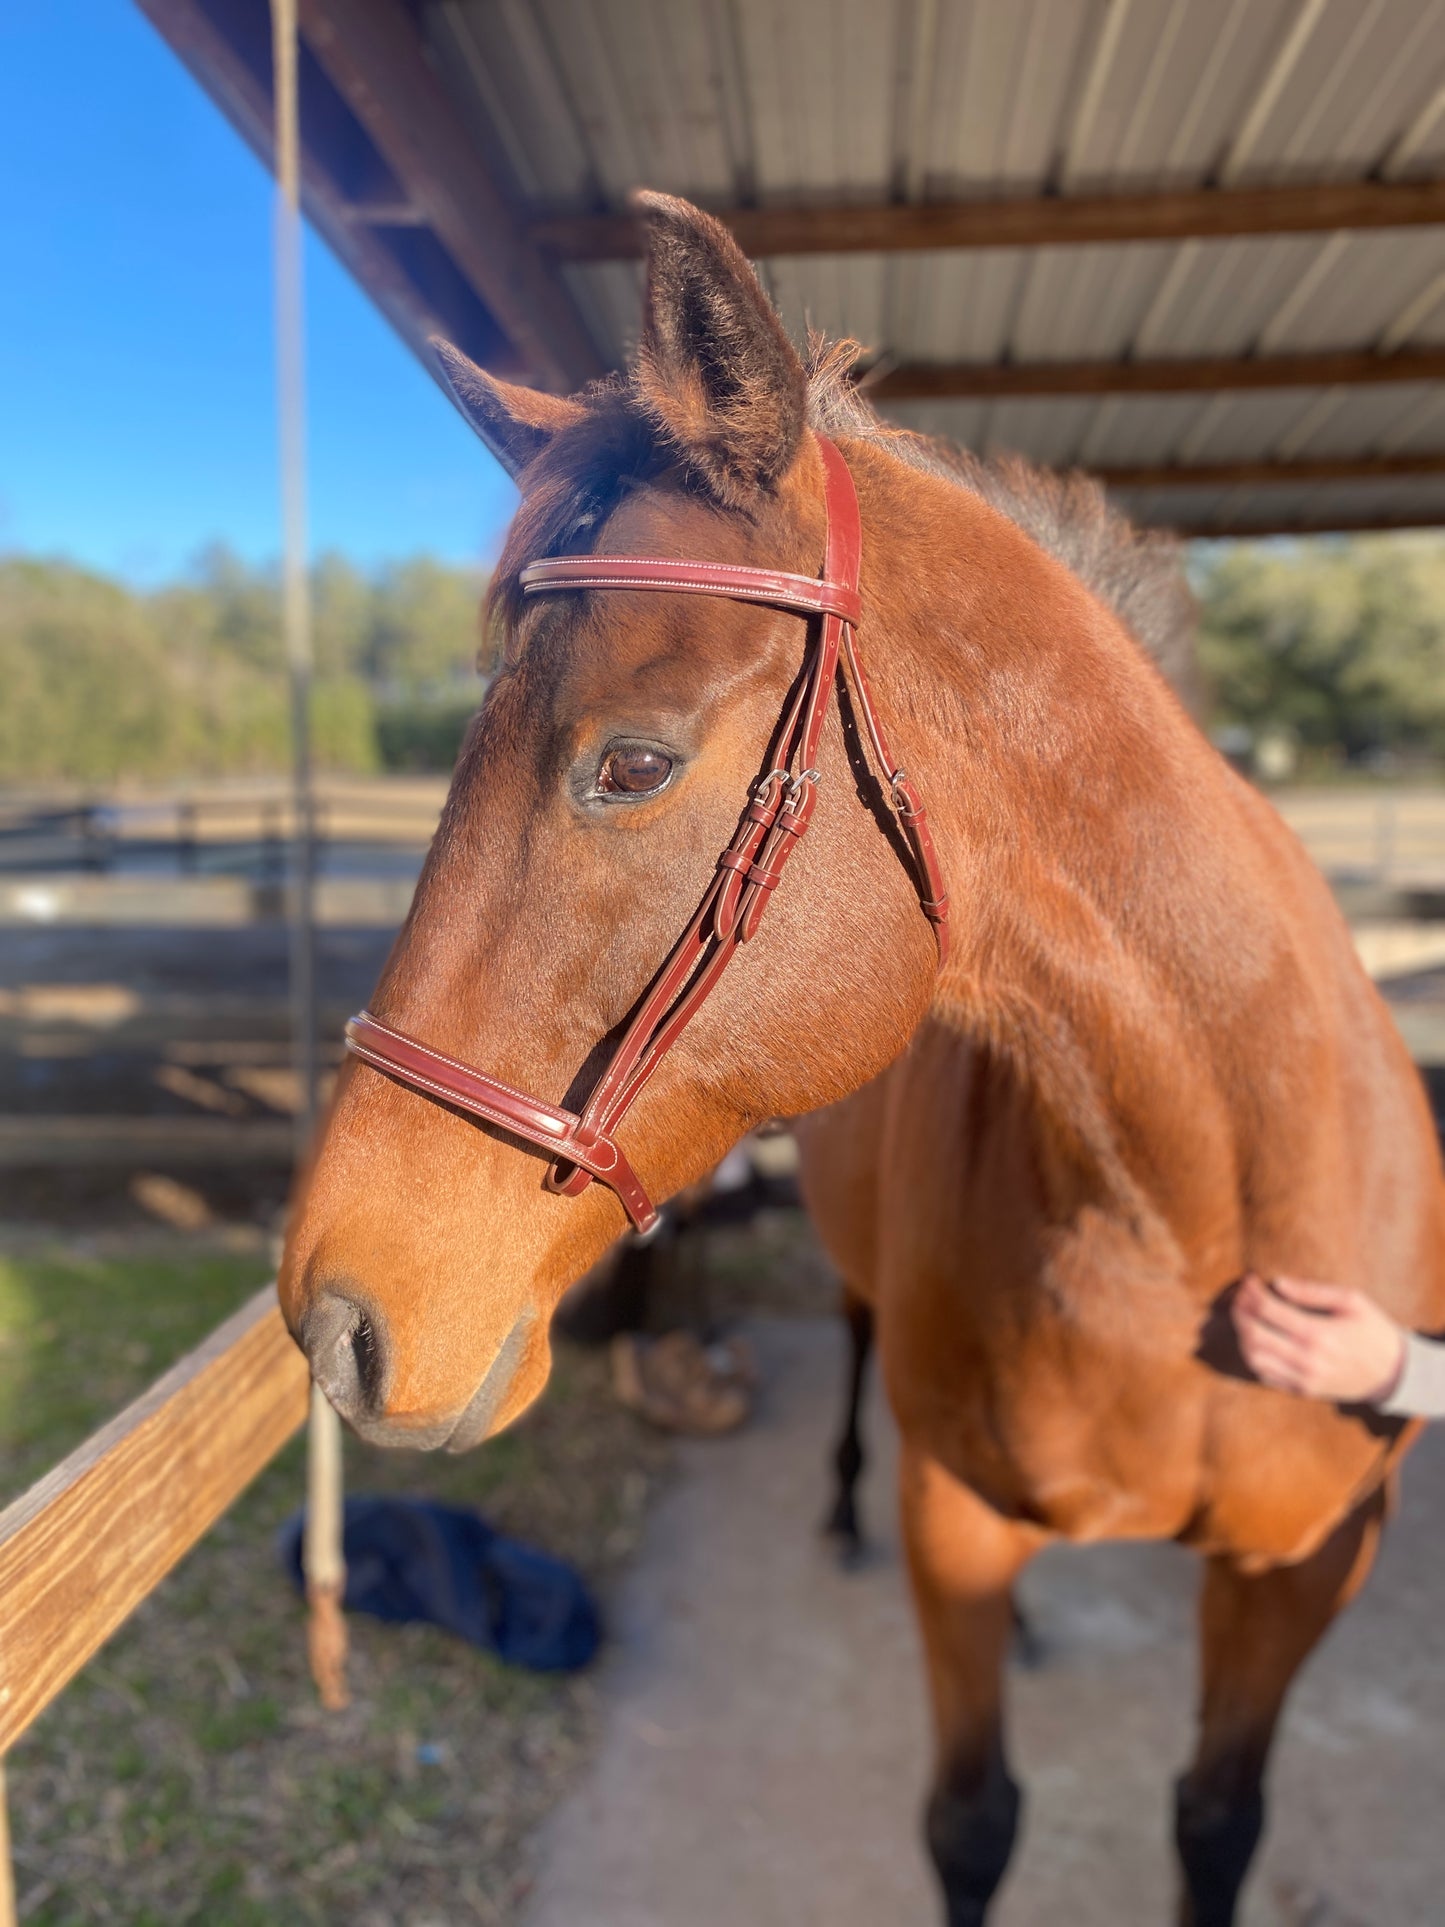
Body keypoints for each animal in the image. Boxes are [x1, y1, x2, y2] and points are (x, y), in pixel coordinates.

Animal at [283, 187, 1445, 1919]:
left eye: (632, 764)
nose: (332, 1313)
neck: (1198, 1210)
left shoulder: (1293, 1581)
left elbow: (1213, 1824)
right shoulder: (952, 1529)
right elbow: (970, 1819)